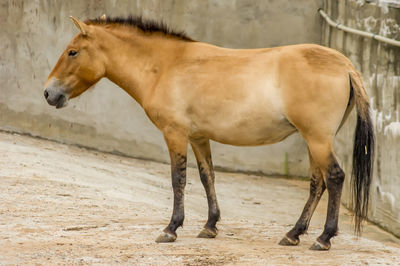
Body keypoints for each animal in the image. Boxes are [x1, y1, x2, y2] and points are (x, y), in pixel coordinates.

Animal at [44, 15, 376, 250]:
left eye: (72, 52)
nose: (49, 93)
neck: (165, 67)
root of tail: (345, 65)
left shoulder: (175, 134)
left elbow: (178, 179)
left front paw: (171, 229)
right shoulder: (198, 138)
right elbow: (207, 177)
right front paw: (210, 226)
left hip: (317, 139)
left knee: (334, 178)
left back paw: (323, 238)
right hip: (312, 141)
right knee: (317, 184)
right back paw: (294, 234)